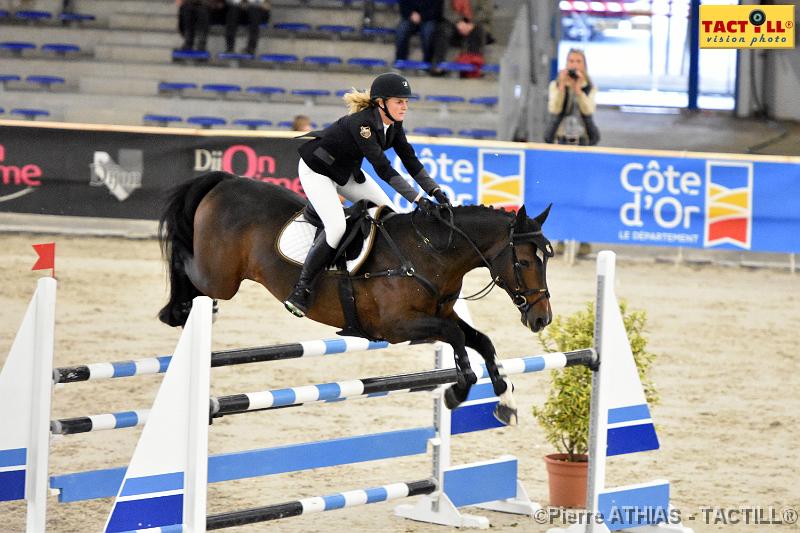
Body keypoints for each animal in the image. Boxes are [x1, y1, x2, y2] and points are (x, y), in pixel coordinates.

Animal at [159, 170, 552, 424]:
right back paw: (178, 310)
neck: (431, 252)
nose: (542, 318)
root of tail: (227, 181)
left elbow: (481, 341)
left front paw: (506, 401)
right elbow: (458, 338)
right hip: (220, 277)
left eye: (547, 257)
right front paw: (457, 392)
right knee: (185, 261)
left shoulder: (439, 316)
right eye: (524, 261)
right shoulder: (399, 327)